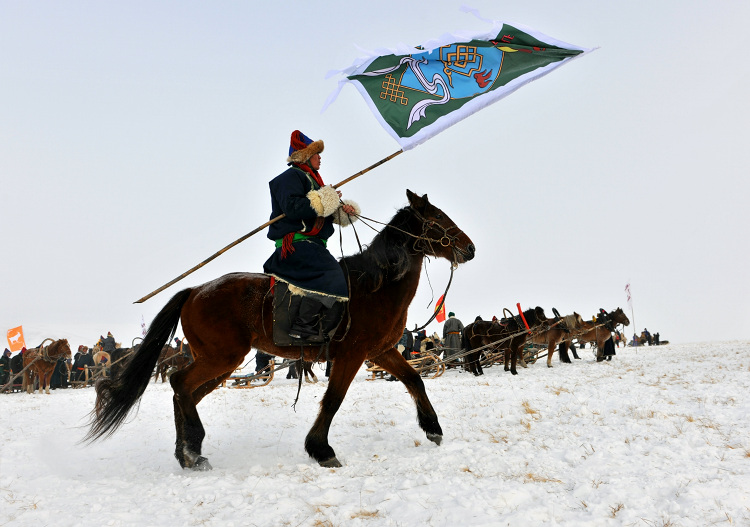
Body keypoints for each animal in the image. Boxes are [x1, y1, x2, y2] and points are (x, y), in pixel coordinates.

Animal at [86, 192, 476, 472]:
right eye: (436, 218)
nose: (469, 248)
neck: (376, 285)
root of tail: (195, 290)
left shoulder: (381, 351)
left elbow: (414, 379)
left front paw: (433, 427)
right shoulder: (352, 354)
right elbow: (333, 400)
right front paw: (321, 449)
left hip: (220, 363)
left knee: (187, 394)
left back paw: (188, 453)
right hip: (221, 358)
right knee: (179, 383)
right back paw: (192, 450)